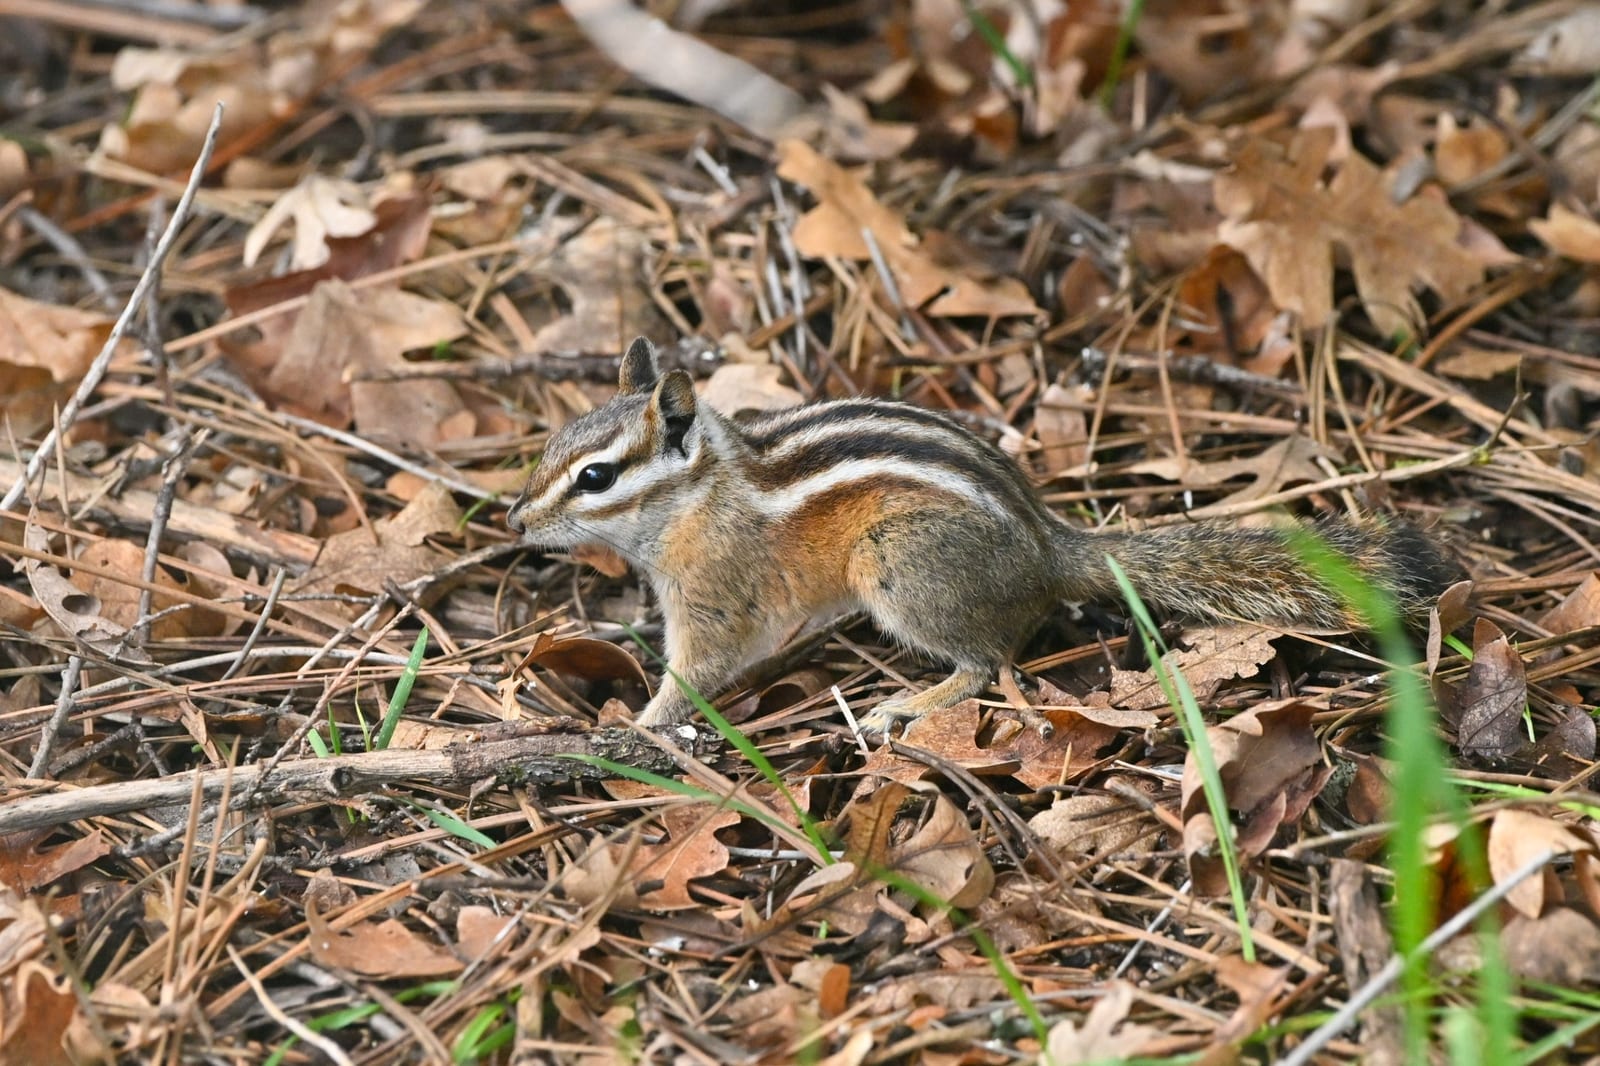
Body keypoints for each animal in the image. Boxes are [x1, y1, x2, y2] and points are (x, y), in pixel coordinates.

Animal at [507, 338, 1462, 736]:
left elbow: (698, 672)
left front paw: (637, 727)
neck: (702, 492)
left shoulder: (717, 595)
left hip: (897, 564)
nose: (515, 519)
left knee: (986, 663)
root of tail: (1048, 549)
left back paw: (907, 704)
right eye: (552, 444)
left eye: (596, 478)